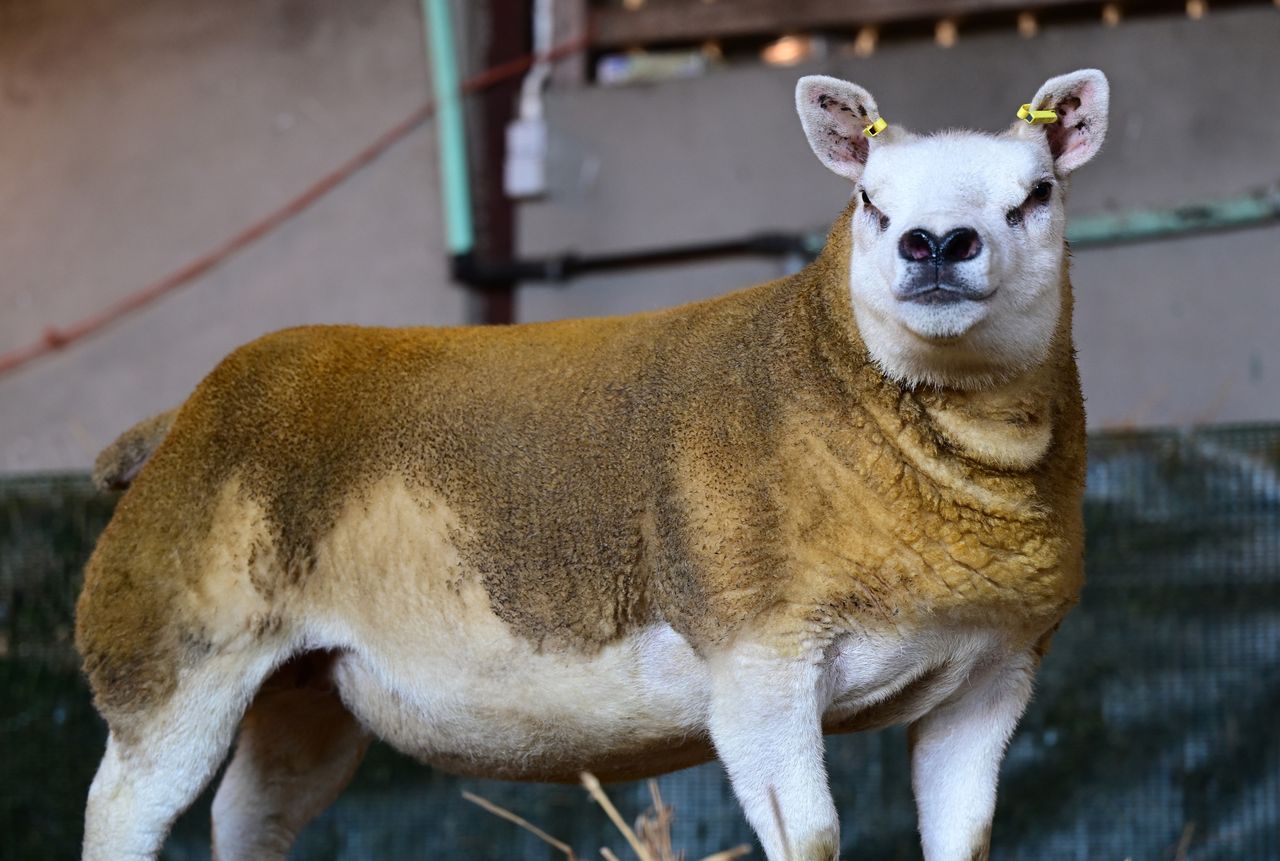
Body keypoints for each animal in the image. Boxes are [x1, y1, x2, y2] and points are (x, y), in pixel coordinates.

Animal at [75, 69, 1108, 861]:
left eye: (1038, 193)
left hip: (300, 690)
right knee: (120, 811)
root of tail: (183, 413)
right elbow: (811, 839)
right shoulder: (759, 665)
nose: (934, 245)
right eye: (870, 202)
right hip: (171, 648)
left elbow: (966, 841)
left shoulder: (991, 680)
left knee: (248, 817)